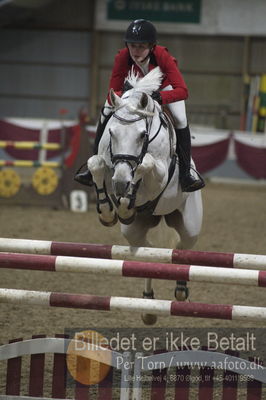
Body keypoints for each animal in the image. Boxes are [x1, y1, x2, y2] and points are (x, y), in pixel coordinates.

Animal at [87, 66, 202, 324]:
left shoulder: (158, 175)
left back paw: (181, 288)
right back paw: (148, 306)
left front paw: (125, 200)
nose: (120, 183)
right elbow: (95, 164)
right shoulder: (106, 162)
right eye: (111, 132)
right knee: (150, 255)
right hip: (134, 231)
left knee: (182, 249)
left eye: (141, 135)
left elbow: (145, 163)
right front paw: (109, 211)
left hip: (189, 225)